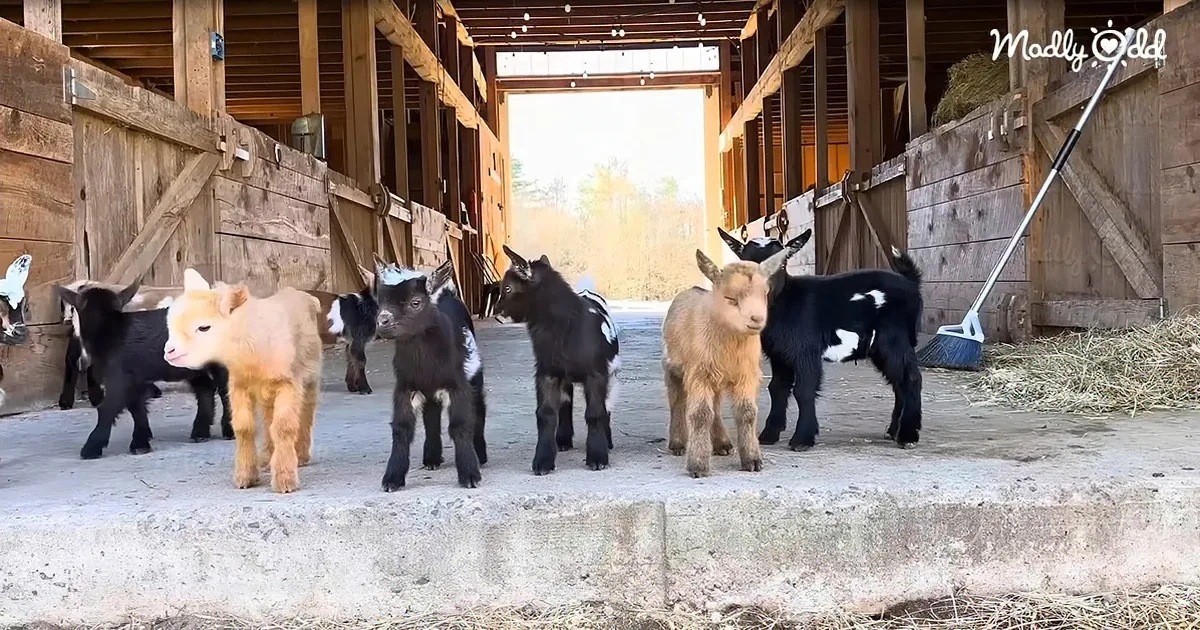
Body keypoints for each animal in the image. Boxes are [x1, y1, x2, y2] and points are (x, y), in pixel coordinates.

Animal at [164, 270, 324, 493]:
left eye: (204, 327)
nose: (169, 351)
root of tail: (303, 295)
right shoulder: (238, 386)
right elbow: (244, 427)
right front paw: (245, 477)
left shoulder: (288, 383)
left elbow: (283, 426)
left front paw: (285, 480)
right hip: (267, 392)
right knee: (268, 419)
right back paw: (266, 458)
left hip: (310, 374)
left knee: (306, 411)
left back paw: (300, 455)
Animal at [374, 260, 485, 491]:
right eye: (380, 303)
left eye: (415, 302)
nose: (382, 322)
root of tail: (447, 295)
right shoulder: (405, 386)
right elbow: (402, 428)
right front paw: (392, 478)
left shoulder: (457, 385)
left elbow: (460, 424)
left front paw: (470, 475)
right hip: (429, 391)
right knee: (431, 417)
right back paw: (432, 458)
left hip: (474, 375)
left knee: (479, 408)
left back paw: (481, 455)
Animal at [496, 245, 620, 475]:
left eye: (507, 288)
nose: (498, 314)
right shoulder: (547, 372)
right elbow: (546, 414)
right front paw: (542, 461)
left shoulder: (596, 373)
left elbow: (595, 412)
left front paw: (598, 458)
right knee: (566, 403)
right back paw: (562, 441)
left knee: (606, 404)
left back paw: (606, 441)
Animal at [662, 247, 796, 477]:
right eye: (730, 297)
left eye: (764, 293)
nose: (757, 319)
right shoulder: (698, 373)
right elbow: (700, 414)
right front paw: (698, 465)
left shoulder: (747, 374)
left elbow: (747, 413)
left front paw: (752, 460)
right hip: (672, 366)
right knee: (677, 401)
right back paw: (678, 444)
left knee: (715, 406)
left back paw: (722, 444)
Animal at [719, 228, 925, 450]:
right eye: (745, 263)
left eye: (782, 264)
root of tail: (910, 283)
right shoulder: (779, 354)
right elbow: (777, 388)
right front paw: (769, 434)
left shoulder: (806, 350)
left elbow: (803, 390)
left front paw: (802, 439)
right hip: (879, 348)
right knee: (898, 382)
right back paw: (894, 430)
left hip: (894, 338)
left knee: (910, 378)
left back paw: (908, 435)